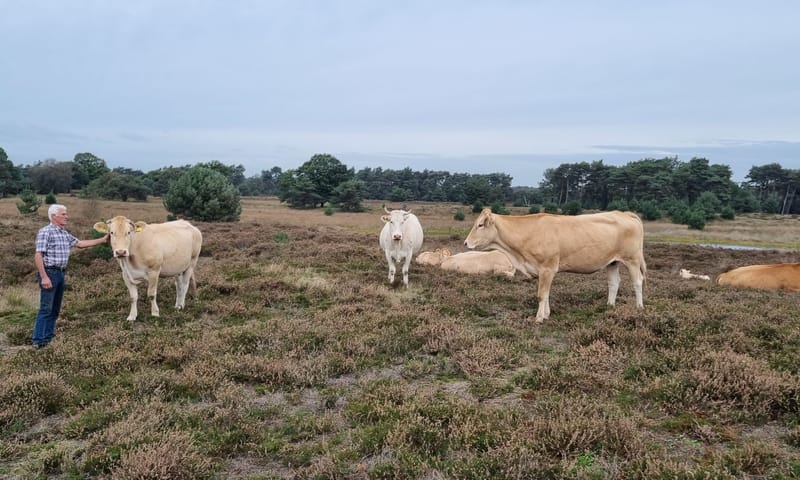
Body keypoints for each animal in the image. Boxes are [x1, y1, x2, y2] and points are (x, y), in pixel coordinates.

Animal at [464, 208, 646, 323]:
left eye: (480, 225)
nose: (466, 243)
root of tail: (624, 213)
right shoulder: (545, 271)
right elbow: (547, 294)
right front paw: (546, 314)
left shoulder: (547, 268)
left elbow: (541, 295)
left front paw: (539, 318)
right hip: (613, 262)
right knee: (614, 283)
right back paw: (609, 306)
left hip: (633, 259)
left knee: (637, 281)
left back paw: (639, 307)